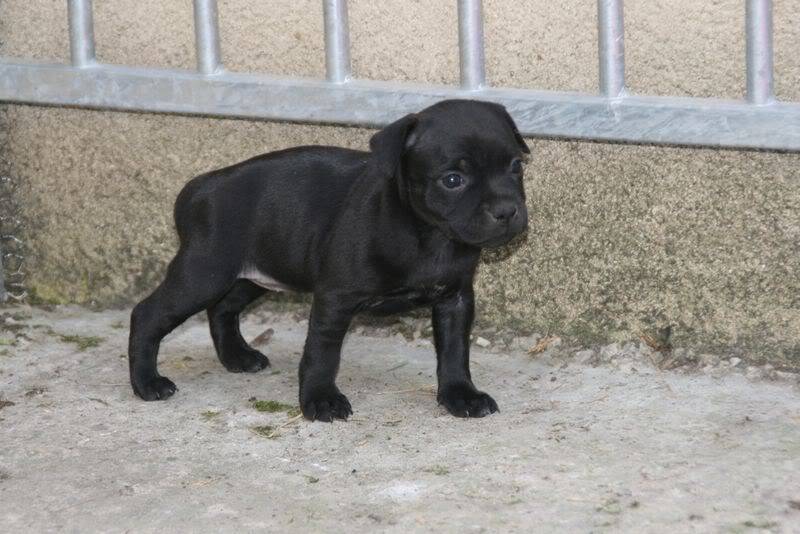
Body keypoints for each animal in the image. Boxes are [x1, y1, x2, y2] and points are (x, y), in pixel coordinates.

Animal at [128, 99, 528, 422]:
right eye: (453, 179)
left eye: (516, 167)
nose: (508, 210)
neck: (429, 234)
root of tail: (201, 187)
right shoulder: (336, 298)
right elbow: (322, 352)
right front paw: (320, 400)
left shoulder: (455, 300)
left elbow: (455, 351)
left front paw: (461, 395)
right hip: (204, 273)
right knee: (148, 314)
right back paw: (147, 383)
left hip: (255, 273)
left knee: (222, 308)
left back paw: (237, 357)